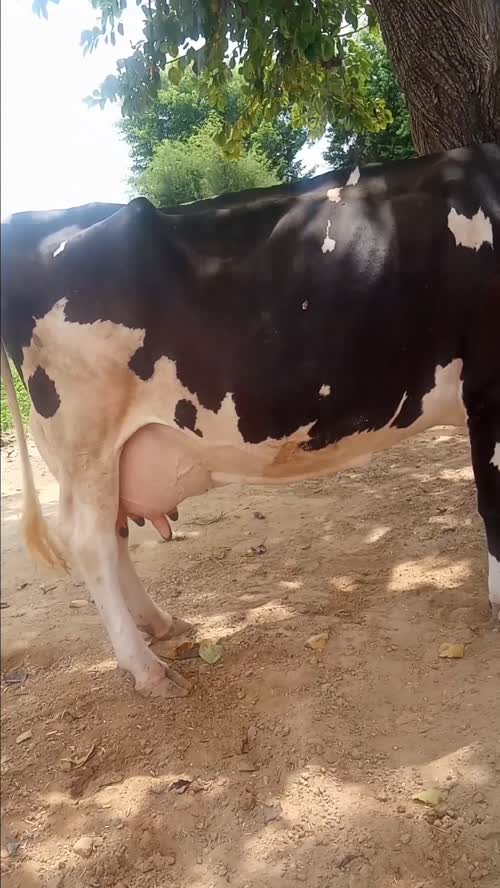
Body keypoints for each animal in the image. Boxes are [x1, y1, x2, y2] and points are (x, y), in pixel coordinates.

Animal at [1, 143, 499, 699]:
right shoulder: (491, 386)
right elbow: (494, 503)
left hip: (99, 453)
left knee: (113, 534)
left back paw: (161, 625)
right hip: (86, 438)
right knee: (91, 543)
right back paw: (147, 669)